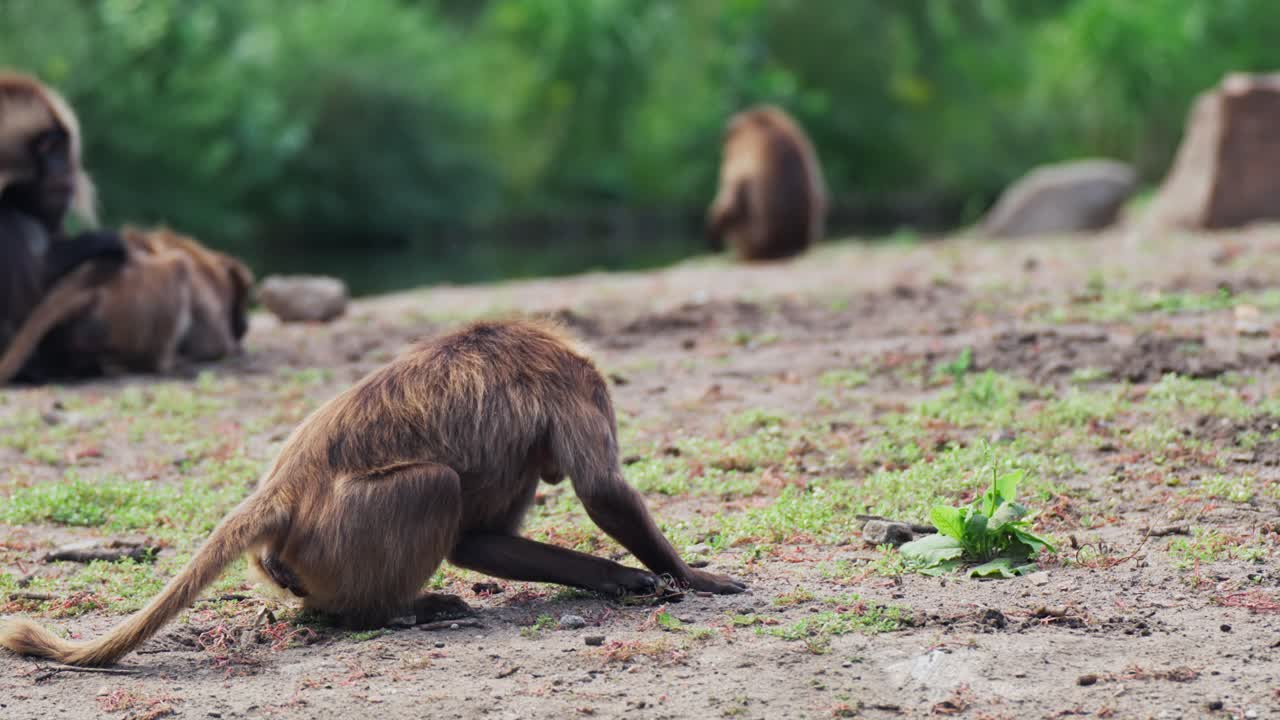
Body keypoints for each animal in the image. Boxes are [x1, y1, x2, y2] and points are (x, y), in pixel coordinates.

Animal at [0, 319, 746, 666]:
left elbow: (479, 543)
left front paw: (624, 578)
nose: (550, 474)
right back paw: (385, 614)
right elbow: (602, 493)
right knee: (434, 486)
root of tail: (283, 487)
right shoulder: (572, 393)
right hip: (339, 536)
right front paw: (677, 574)